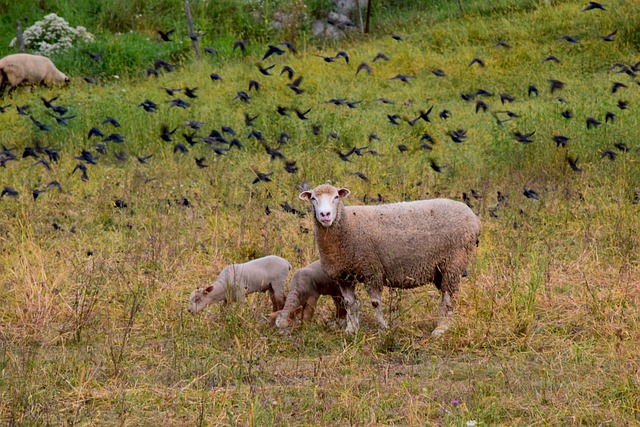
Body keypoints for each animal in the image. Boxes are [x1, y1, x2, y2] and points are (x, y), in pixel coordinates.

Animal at [300, 184, 480, 338]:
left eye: (336, 197)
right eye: (313, 198)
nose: (325, 215)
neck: (346, 225)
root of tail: (474, 218)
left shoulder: (371, 270)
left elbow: (375, 303)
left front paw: (383, 328)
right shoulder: (344, 276)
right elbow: (350, 303)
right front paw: (351, 330)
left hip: (454, 262)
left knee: (450, 298)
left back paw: (441, 329)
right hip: (443, 270)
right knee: (446, 296)